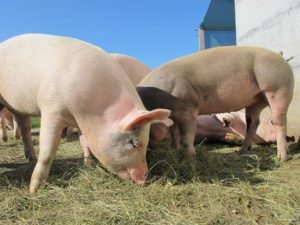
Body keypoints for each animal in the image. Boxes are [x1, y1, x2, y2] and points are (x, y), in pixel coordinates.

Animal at [0, 33, 172, 192]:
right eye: (134, 143)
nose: (144, 179)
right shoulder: (52, 109)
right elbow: (48, 151)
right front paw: (33, 190)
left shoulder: (81, 122)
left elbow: (85, 142)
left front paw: (89, 164)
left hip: (18, 109)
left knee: (24, 127)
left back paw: (30, 158)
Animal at [139, 46, 294, 161]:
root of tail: (282, 58)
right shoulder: (174, 115)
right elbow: (174, 134)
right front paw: (174, 150)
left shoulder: (188, 108)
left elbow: (186, 136)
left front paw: (189, 158)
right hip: (256, 100)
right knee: (253, 123)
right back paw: (242, 152)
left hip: (278, 89)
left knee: (280, 121)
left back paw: (281, 158)